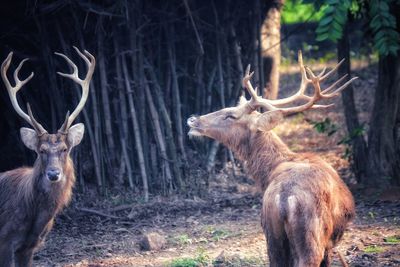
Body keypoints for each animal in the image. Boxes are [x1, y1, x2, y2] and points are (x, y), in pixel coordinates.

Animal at [188, 50, 356, 267]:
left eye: (230, 115)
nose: (193, 119)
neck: (268, 172)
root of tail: (284, 200)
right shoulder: (330, 242)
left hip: (272, 235)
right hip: (312, 236)